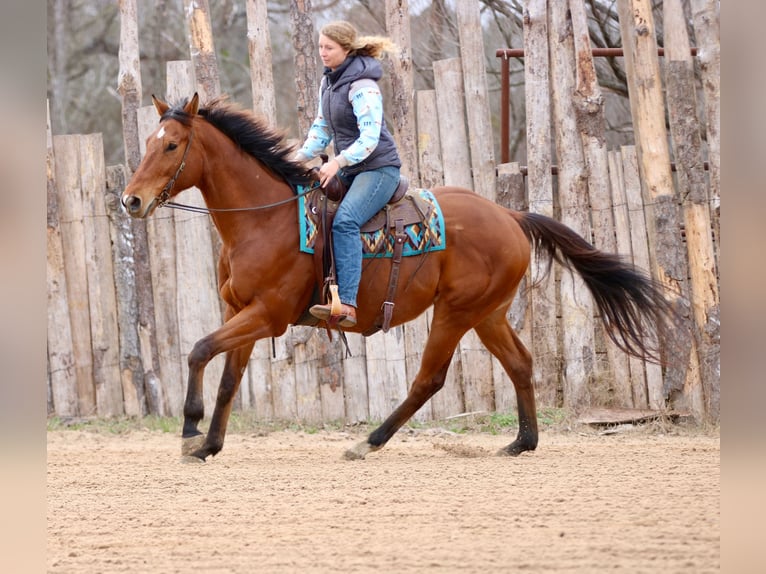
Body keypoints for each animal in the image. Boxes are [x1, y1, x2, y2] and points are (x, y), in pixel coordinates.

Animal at [122, 93, 679, 462]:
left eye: (171, 145)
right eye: (148, 142)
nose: (131, 200)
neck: (266, 220)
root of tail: (511, 216)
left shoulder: (268, 315)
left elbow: (199, 350)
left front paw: (189, 428)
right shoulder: (241, 312)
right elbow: (227, 378)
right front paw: (209, 444)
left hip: (455, 313)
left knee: (429, 379)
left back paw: (369, 441)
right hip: (488, 313)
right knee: (520, 363)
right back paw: (523, 442)